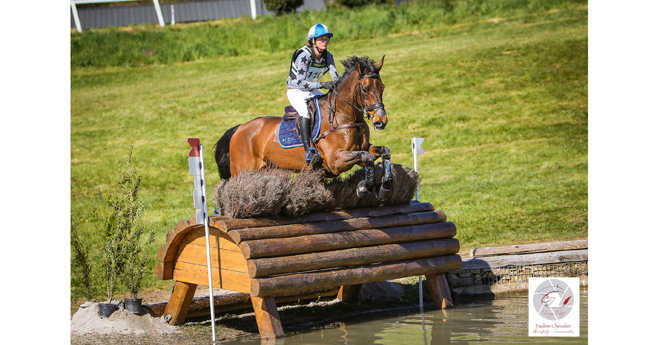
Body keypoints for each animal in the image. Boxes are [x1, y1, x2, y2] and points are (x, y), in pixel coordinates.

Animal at [215, 54, 392, 199]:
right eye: (365, 89)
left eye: (382, 87)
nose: (381, 121)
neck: (344, 115)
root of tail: (238, 129)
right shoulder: (336, 161)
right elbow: (366, 157)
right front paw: (364, 188)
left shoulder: (362, 149)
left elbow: (382, 152)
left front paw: (384, 186)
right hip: (242, 171)